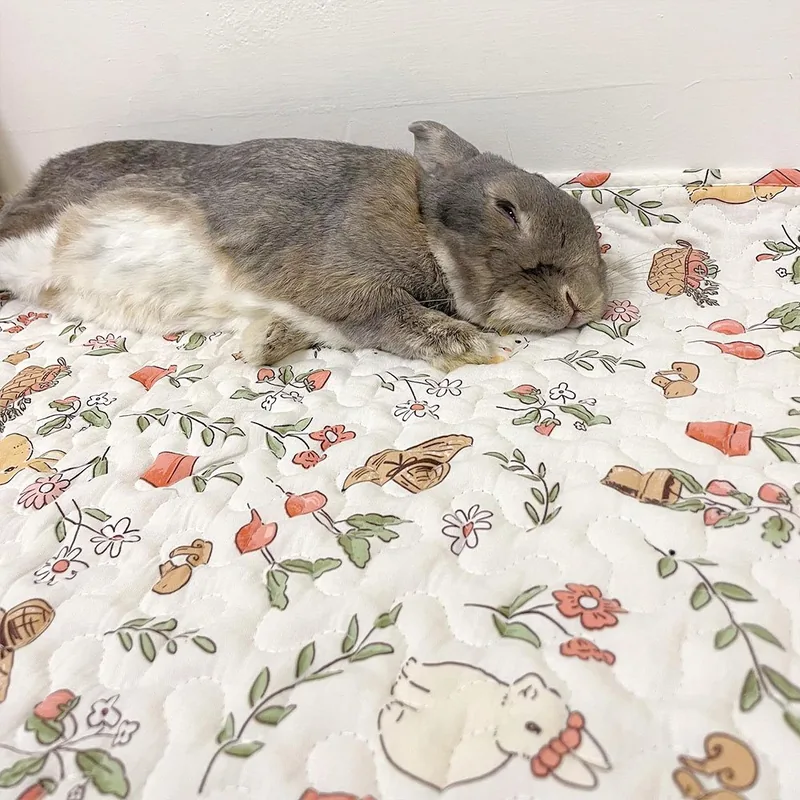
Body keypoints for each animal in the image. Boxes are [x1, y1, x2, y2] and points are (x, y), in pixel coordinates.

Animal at [0, 122, 607, 371]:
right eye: (506, 209)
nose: (585, 302)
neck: (422, 222)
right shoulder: (341, 278)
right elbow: (390, 312)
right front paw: (469, 346)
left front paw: (255, 347)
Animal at [377, 658, 610, 791]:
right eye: (550, 693)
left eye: (532, 727)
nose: (531, 685)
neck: (497, 713)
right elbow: (430, 681)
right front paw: (408, 674)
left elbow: (424, 699)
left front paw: (402, 690)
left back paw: (393, 710)